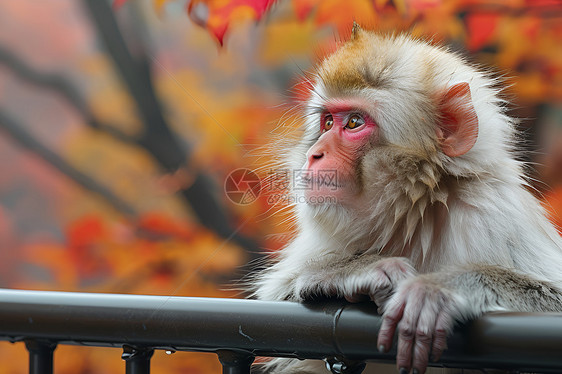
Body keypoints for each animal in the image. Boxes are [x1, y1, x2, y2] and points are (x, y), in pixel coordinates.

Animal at [249, 22, 560, 374]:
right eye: (327, 122)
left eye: (353, 122)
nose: (315, 154)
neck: (418, 209)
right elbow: (275, 303)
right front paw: (352, 272)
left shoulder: (493, 210)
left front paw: (444, 288)